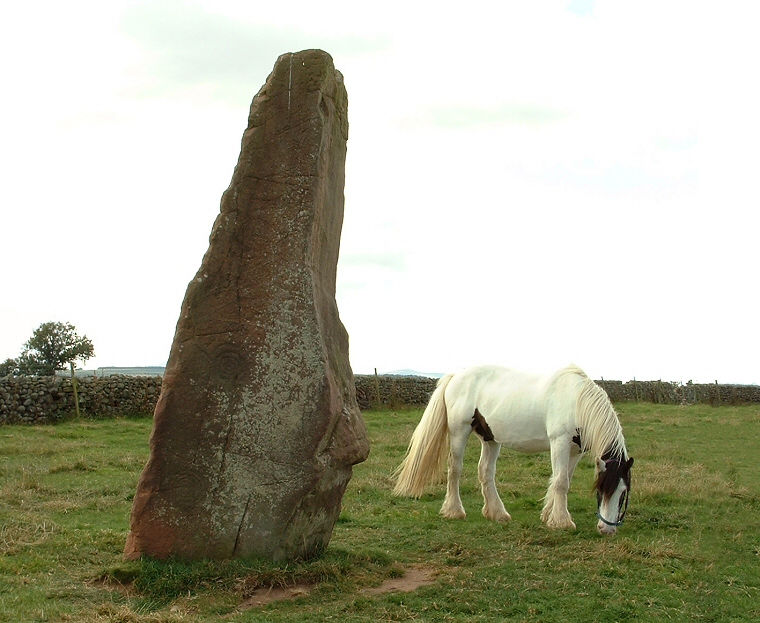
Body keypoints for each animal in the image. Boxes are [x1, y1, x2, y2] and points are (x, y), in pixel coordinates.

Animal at [394, 366, 632, 536]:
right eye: (602, 489)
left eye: (623, 492)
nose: (607, 530)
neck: (576, 400)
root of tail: (455, 376)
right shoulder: (560, 442)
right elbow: (561, 482)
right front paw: (562, 522)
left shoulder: (575, 451)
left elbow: (562, 480)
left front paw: (549, 515)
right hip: (459, 432)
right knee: (455, 470)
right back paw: (455, 511)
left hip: (490, 439)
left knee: (485, 472)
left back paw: (497, 513)